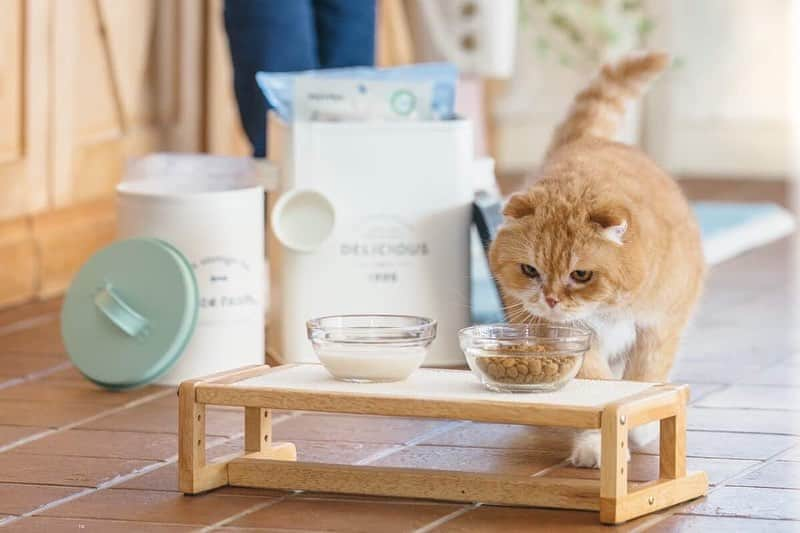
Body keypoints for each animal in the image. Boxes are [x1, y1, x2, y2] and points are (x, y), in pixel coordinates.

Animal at [488, 51, 708, 466]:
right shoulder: (574, 339)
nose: (551, 300)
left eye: (581, 275)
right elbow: (597, 390)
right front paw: (595, 445)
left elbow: (643, 376)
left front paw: (641, 424)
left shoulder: (659, 327)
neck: (611, 312)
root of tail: (590, 139)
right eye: (529, 270)